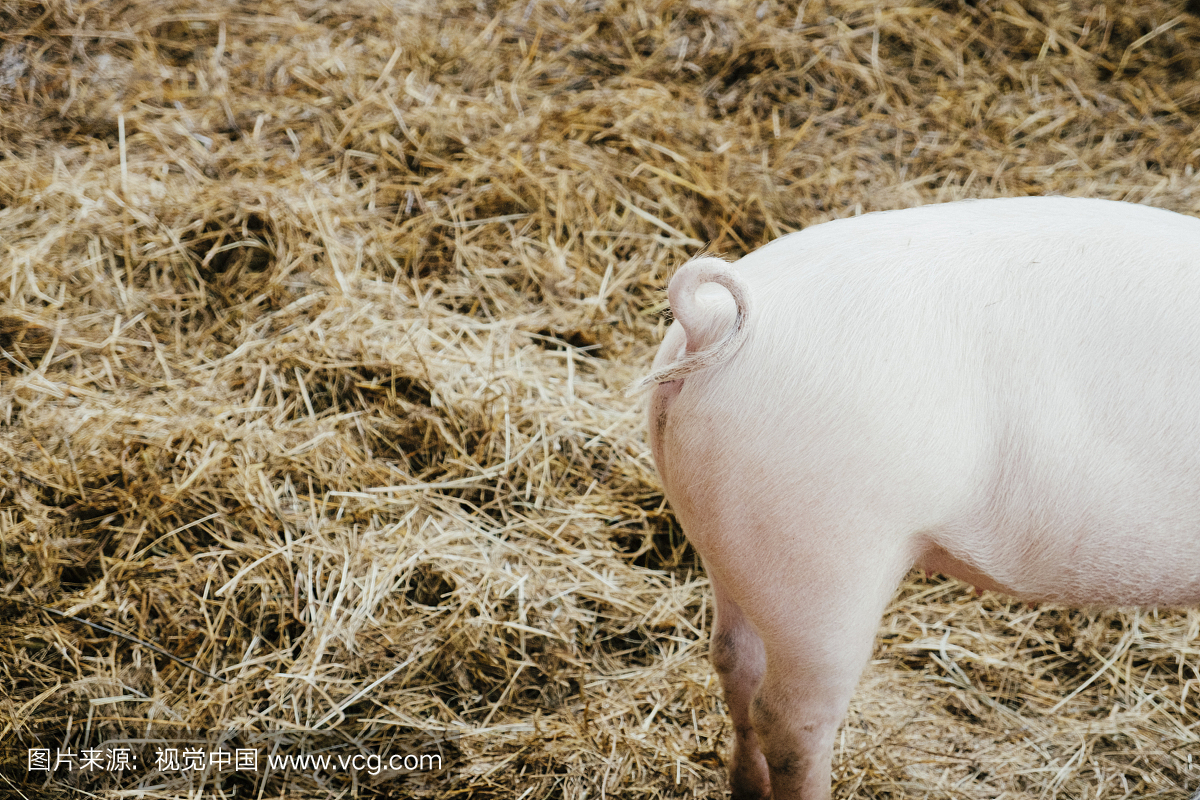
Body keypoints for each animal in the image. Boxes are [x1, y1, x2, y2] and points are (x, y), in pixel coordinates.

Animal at [638, 199, 1200, 800]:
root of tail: (712, 323)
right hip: (823, 564)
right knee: (791, 720)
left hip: (728, 539)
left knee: (732, 659)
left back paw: (746, 785)